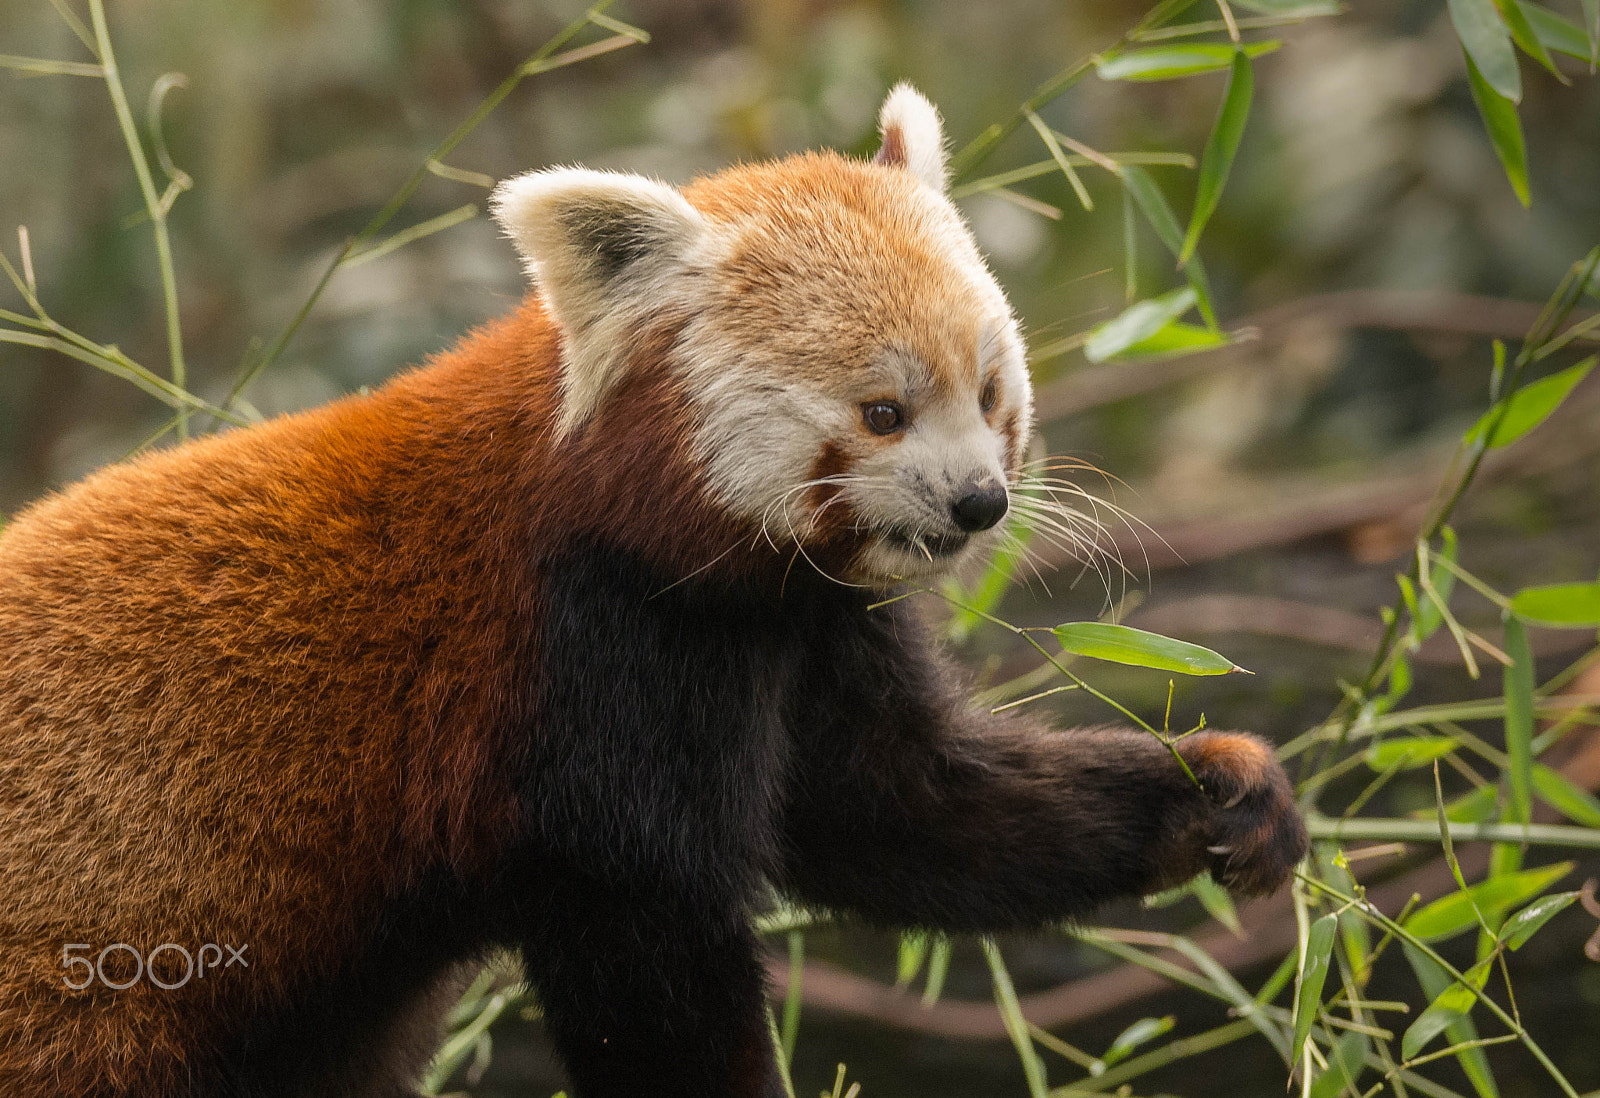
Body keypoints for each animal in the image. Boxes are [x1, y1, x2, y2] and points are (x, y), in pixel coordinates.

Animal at [0, 88, 1299, 1098]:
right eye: (882, 412)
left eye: (988, 394)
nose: (979, 503)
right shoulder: (575, 659)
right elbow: (650, 947)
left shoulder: (792, 631)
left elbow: (907, 809)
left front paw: (1213, 788)